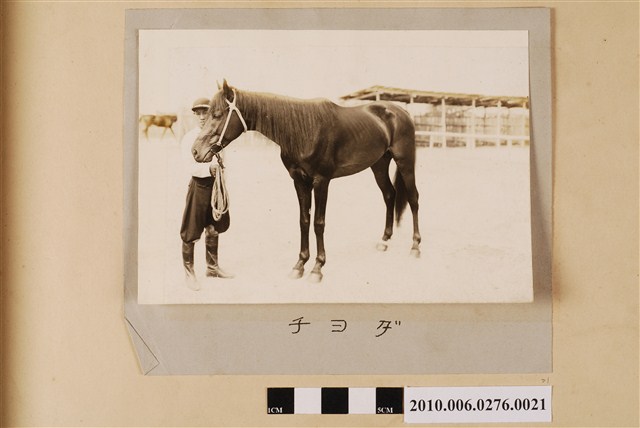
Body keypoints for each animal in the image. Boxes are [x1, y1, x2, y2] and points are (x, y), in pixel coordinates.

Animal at [191, 80, 421, 283]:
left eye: (217, 115)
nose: (195, 151)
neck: (305, 130)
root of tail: (402, 112)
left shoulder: (321, 181)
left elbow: (318, 223)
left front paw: (317, 268)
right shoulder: (299, 181)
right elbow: (304, 221)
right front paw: (299, 265)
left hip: (405, 162)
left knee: (413, 199)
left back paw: (415, 246)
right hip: (379, 164)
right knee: (389, 195)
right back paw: (384, 241)